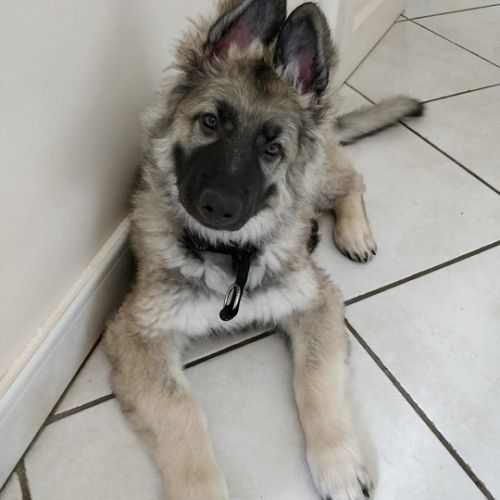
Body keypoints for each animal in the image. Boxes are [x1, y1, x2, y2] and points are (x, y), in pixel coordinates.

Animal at [104, 1, 423, 498]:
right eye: (211, 122)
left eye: (272, 148)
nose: (219, 207)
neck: (229, 256)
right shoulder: (135, 336)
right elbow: (180, 412)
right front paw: (201, 489)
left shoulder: (316, 304)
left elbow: (314, 380)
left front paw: (338, 463)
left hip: (319, 179)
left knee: (352, 181)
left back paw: (353, 233)